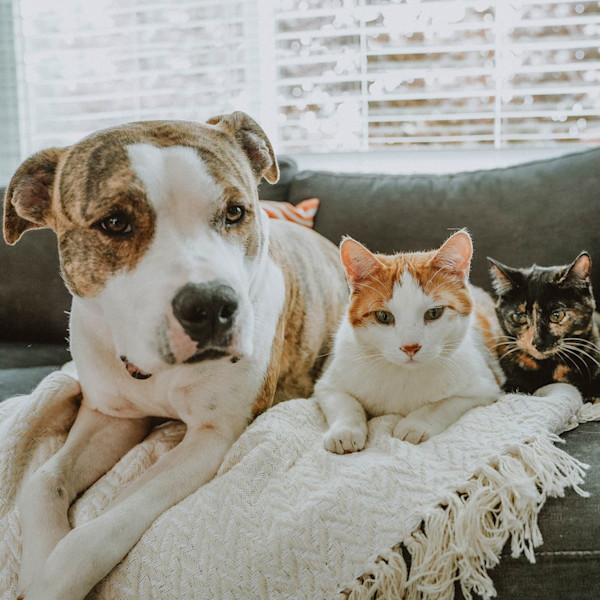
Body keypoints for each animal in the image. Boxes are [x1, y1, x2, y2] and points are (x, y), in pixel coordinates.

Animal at [3, 112, 346, 600]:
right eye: (114, 223)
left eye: (235, 212)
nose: (211, 306)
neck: (153, 372)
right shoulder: (109, 418)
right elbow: (42, 482)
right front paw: (35, 567)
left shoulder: (210, 437)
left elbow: (99, 531)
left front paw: (51, 580)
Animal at [316, 232, 504, 452]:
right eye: (383, 316)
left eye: (434, 313)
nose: (410, 347)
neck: (404, 373)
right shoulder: (328, 383)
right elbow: (344, 401)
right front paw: (345, 431)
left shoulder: (485, 387)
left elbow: (443, 404)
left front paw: (415, 424)